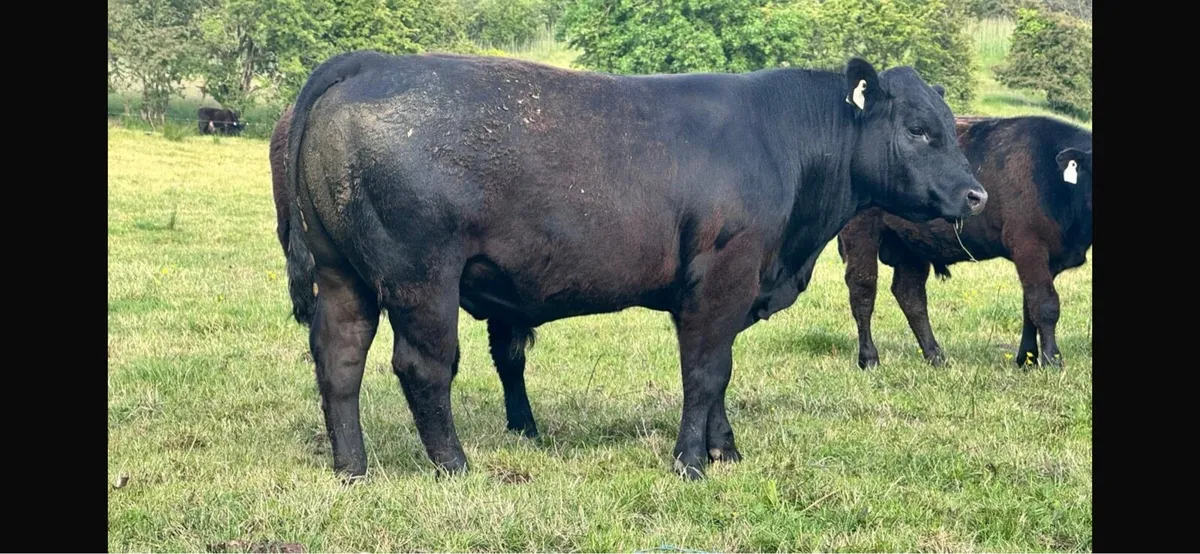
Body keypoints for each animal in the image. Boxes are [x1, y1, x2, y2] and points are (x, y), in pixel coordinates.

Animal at [286, 50, 987, 481]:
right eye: (919, 129)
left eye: (948, 124)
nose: (977, 195)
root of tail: (371, 63)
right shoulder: (721, 280)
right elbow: (705, 373)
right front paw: (691, 463)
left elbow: (719, 375)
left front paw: (725, 450)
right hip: (421, 278)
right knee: (423, 368)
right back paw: (454, 465)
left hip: (343, 274)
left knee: (339, 359)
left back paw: (352, 469)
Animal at [836, 115, 1092, 369]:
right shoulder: (1028, 245)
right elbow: (1045, 304)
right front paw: (1052, 361)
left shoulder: (1050, 259)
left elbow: (1029, 307)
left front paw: (1027, 359)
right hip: (861, 231)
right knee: (863, 290)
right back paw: (869, 358)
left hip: (911, 244)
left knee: (910, 295)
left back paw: (936, 356)